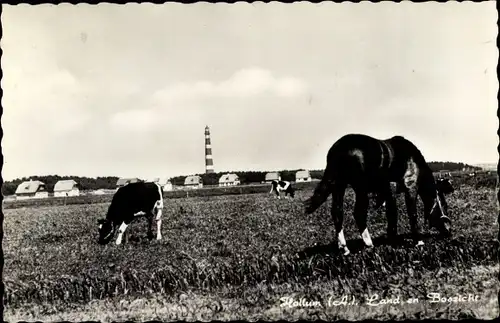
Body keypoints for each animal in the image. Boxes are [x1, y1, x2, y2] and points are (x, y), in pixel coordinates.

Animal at [304, 134, 454, 256]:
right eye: (444, 205)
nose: (449, 231)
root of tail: (338, 148)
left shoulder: (387, 191)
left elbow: (391, 214)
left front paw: (392, 238)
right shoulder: (410, 186)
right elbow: (411, 213)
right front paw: (418, 241)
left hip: (338, 186)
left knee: (337, 212)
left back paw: (344, 248)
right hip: (360, 187)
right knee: (359, 213)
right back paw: (368, 243)